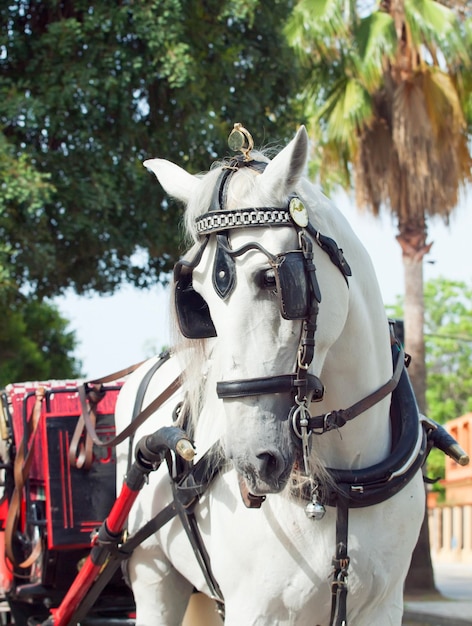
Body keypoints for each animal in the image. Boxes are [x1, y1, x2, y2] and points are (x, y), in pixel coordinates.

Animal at [114, 124, 424, 620]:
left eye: (274, 280)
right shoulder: (258, 609)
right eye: (197, 298)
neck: (347, 481)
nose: (252, 462)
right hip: (154, 575)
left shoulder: (384, 606)